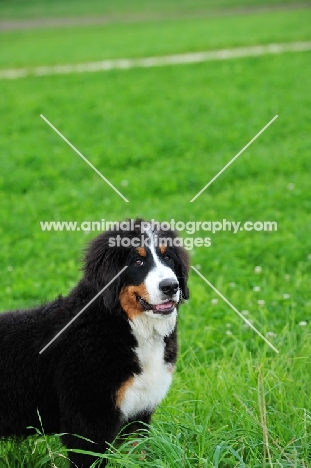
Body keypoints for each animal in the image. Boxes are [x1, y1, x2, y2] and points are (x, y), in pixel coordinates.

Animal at [0, 219, 190, 468]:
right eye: (137, 261)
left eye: (168, 257)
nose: (170, 286)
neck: (122, 324)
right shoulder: (89, 420)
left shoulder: (138, 415)